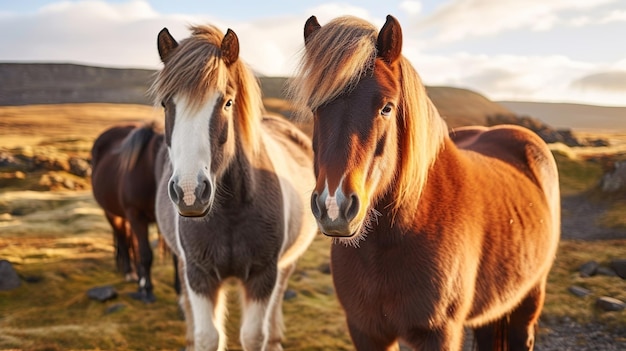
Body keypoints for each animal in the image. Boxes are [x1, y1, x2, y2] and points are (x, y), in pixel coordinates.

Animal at [91, 123, 177, 302]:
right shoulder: (137, 216)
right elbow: (146, 255)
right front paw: (148, 290)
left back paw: (138, 278)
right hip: (113, 213)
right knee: (124, 241)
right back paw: (130, 273)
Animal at [151, 25, 316, 351]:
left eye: (227, 102)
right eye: (166, 104)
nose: (190, 192)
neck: (229, 213)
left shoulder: (262, 276)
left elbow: (253, 335)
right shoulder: (199, 275)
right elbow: (207, 337)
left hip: (286, 263)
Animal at [288, 15, 560, 350]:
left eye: (386, 107)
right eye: (315, 108)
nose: (334, 207)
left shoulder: (439, 333)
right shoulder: (365, 330)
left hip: (530, 296)